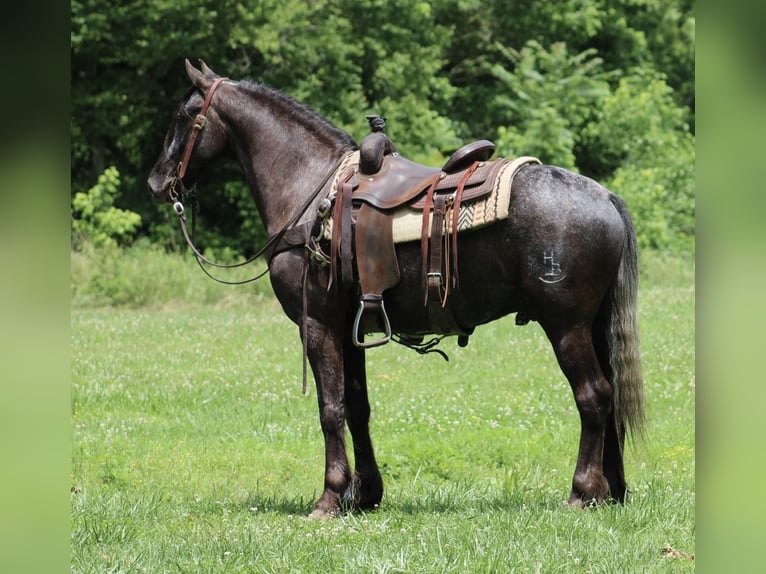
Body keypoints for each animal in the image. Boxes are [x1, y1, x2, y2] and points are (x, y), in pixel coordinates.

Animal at [147, 60, 644, 520]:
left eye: (183, 115)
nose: (156, 181)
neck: (310, 189)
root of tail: (604, 196)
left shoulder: (317, 323)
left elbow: (330, 408)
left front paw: (330, 497)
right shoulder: (350, 329)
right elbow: (357, 407)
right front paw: (364, 495)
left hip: (566, 326)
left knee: (593, 396)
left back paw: (582, 491)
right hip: (593, 325)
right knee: (611, 397)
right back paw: (613, 490)